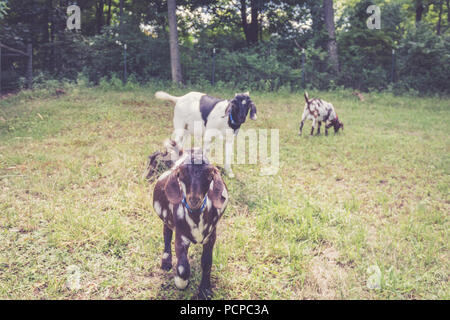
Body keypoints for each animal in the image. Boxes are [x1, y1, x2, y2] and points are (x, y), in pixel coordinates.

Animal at [152, 149, 229, 298]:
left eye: (209, 175)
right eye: (181, 174)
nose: (193, 199)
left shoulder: (211, 236)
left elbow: (207, 262)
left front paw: (205, 290)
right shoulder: (180, 236)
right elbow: (183, 268)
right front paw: (180, 281)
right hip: (168, 221)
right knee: (166, 233)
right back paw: (166, 262)